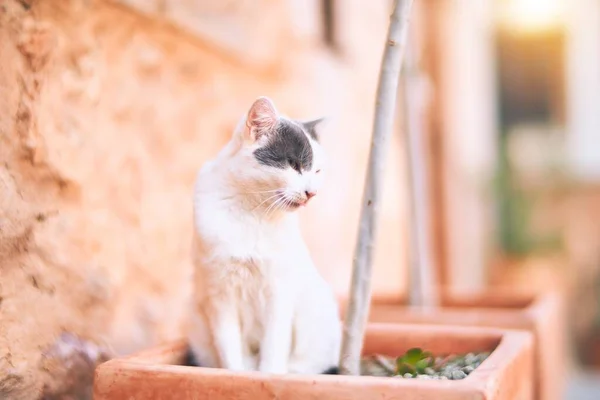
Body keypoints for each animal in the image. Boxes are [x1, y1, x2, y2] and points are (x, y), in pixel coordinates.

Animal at [190, 95, 342, 374]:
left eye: (317, 171)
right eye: (294, 165)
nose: (312, 193)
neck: (254, 211)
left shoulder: (278, 292)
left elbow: (273, 346)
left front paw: (269, 376)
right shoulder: (220, 295)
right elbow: (229, 348)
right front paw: (235, 376)